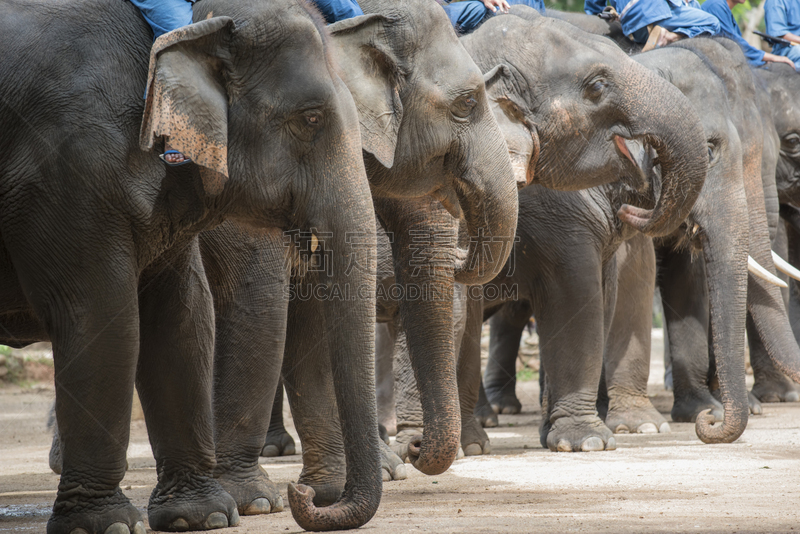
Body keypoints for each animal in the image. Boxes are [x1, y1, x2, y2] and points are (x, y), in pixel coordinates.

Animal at [0, 1, 382, 534]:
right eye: (310, 118)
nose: (303, 494)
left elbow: (182, 316)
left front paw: (202, 517)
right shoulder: (70, 170)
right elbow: (103, 317)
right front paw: (107, 524)